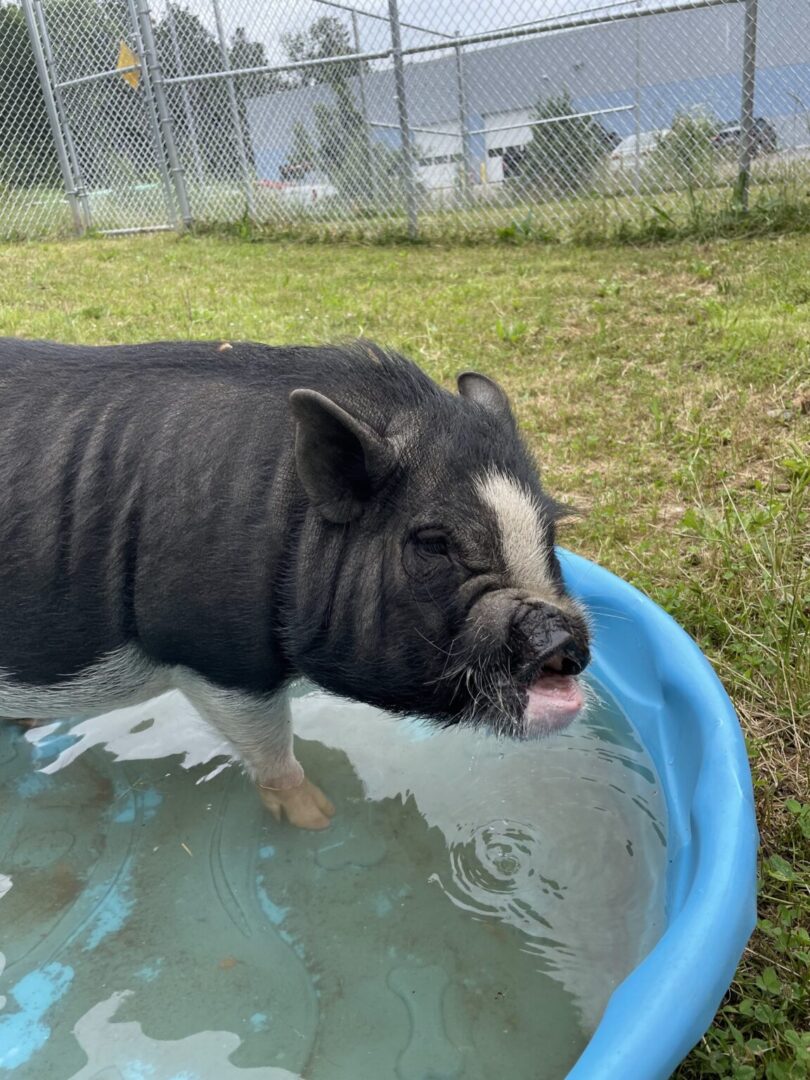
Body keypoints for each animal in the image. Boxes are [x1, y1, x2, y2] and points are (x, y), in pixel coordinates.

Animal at [3, 336, 591, 825]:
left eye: (551, 525)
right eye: (433, 544)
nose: (557, 631)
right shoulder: (215, 657)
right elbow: (273, 751)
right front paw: (320, 818)